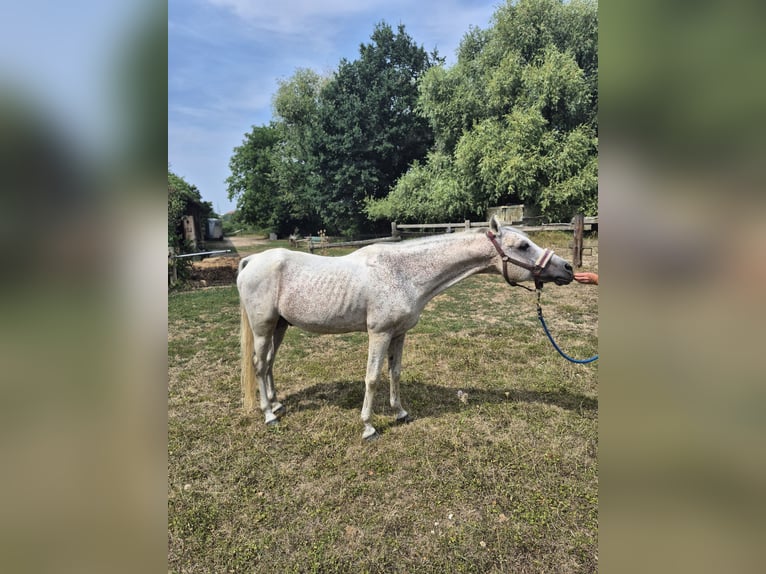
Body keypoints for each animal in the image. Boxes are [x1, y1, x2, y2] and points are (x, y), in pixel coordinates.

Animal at [237, 215, 574, 440]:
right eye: (523, 245)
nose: (567, 268)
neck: (403, 273)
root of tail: (251, 261)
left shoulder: (399, 334)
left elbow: (394, 373)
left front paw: (400, 413)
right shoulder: (379, 333)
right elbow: (373, 378)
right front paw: (369, 426)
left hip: (280, 326)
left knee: (269, 364)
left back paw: (277, 404)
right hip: (264, 328)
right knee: (259, 365)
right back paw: (269, 414)